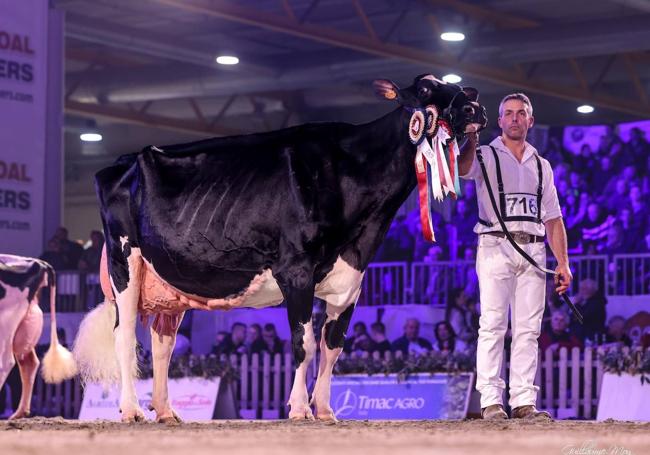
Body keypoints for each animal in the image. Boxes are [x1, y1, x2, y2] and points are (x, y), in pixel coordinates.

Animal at [72, 74, 486, 424]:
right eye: (428, 90)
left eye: (457, 87)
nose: (474, 108)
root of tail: (121, 162)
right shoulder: (297, 271)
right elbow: (304, 343)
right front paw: (300, 409)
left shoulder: (352, 281)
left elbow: (333, 346)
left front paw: (325, 411)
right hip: (126, 263)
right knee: (125, 337)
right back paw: (131, 410)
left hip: (168, 287)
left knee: (162, 346)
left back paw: (166, 412)